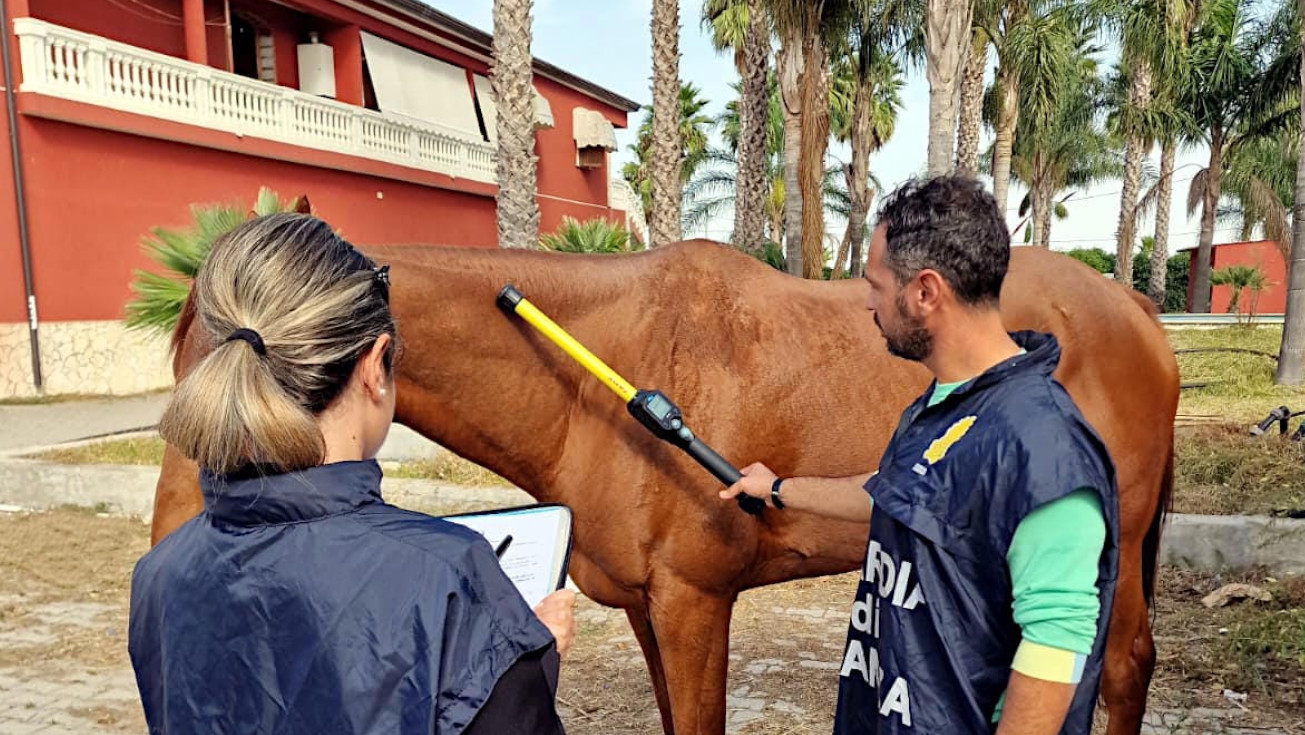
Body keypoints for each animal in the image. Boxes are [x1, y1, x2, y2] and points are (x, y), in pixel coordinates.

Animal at [148, 238, 1179, 731]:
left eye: (241, 368)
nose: (169, 542)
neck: (603, 372)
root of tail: (1131, 305)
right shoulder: (650, 607)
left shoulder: (694, 603)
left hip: (1116, 540)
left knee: (1120, 666)